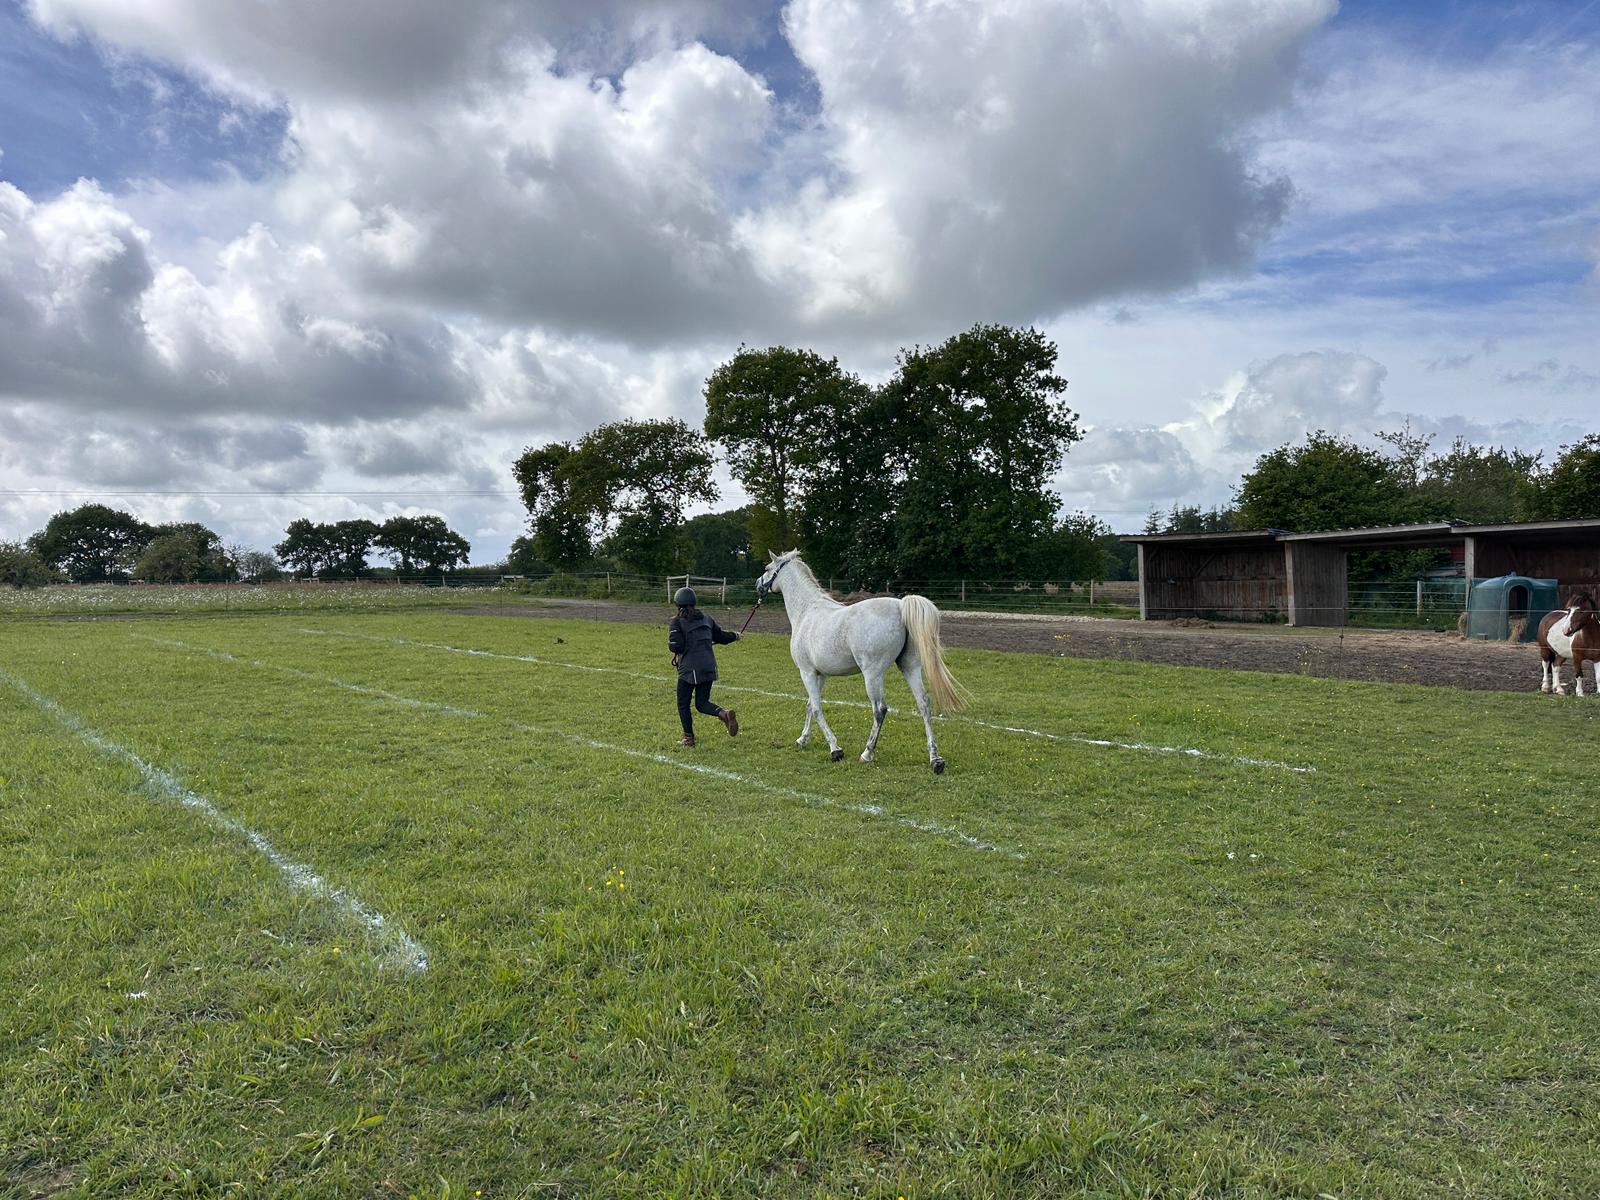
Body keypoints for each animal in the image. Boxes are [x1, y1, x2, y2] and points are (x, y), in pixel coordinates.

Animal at [754, 550, 968, 773]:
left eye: (767, 568)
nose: (757, 584)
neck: (806, 611)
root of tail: (900, 606)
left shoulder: (807, 672)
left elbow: (816, 708)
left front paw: (835, 749)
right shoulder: (821, 674)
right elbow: (810, 705)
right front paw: (802, 740)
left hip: (872, 674)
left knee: (880, 709)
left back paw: (867, 753)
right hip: (909, 667)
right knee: (924, 704)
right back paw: (935, 760)